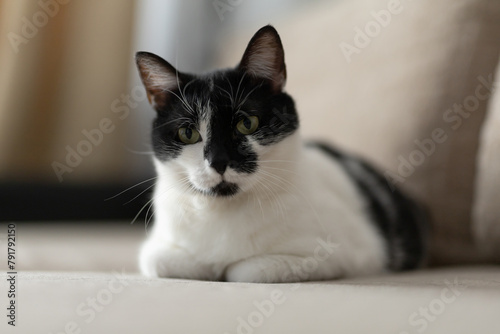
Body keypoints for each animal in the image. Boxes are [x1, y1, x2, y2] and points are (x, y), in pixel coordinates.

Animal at [135, 24, 428, 284]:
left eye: (247, 123)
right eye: (188, 133)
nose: (218, 161)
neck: (222, 214)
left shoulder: (335, 255)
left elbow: (242, 270)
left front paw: (224, 267)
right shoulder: (154, 250)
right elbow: (164, 261)